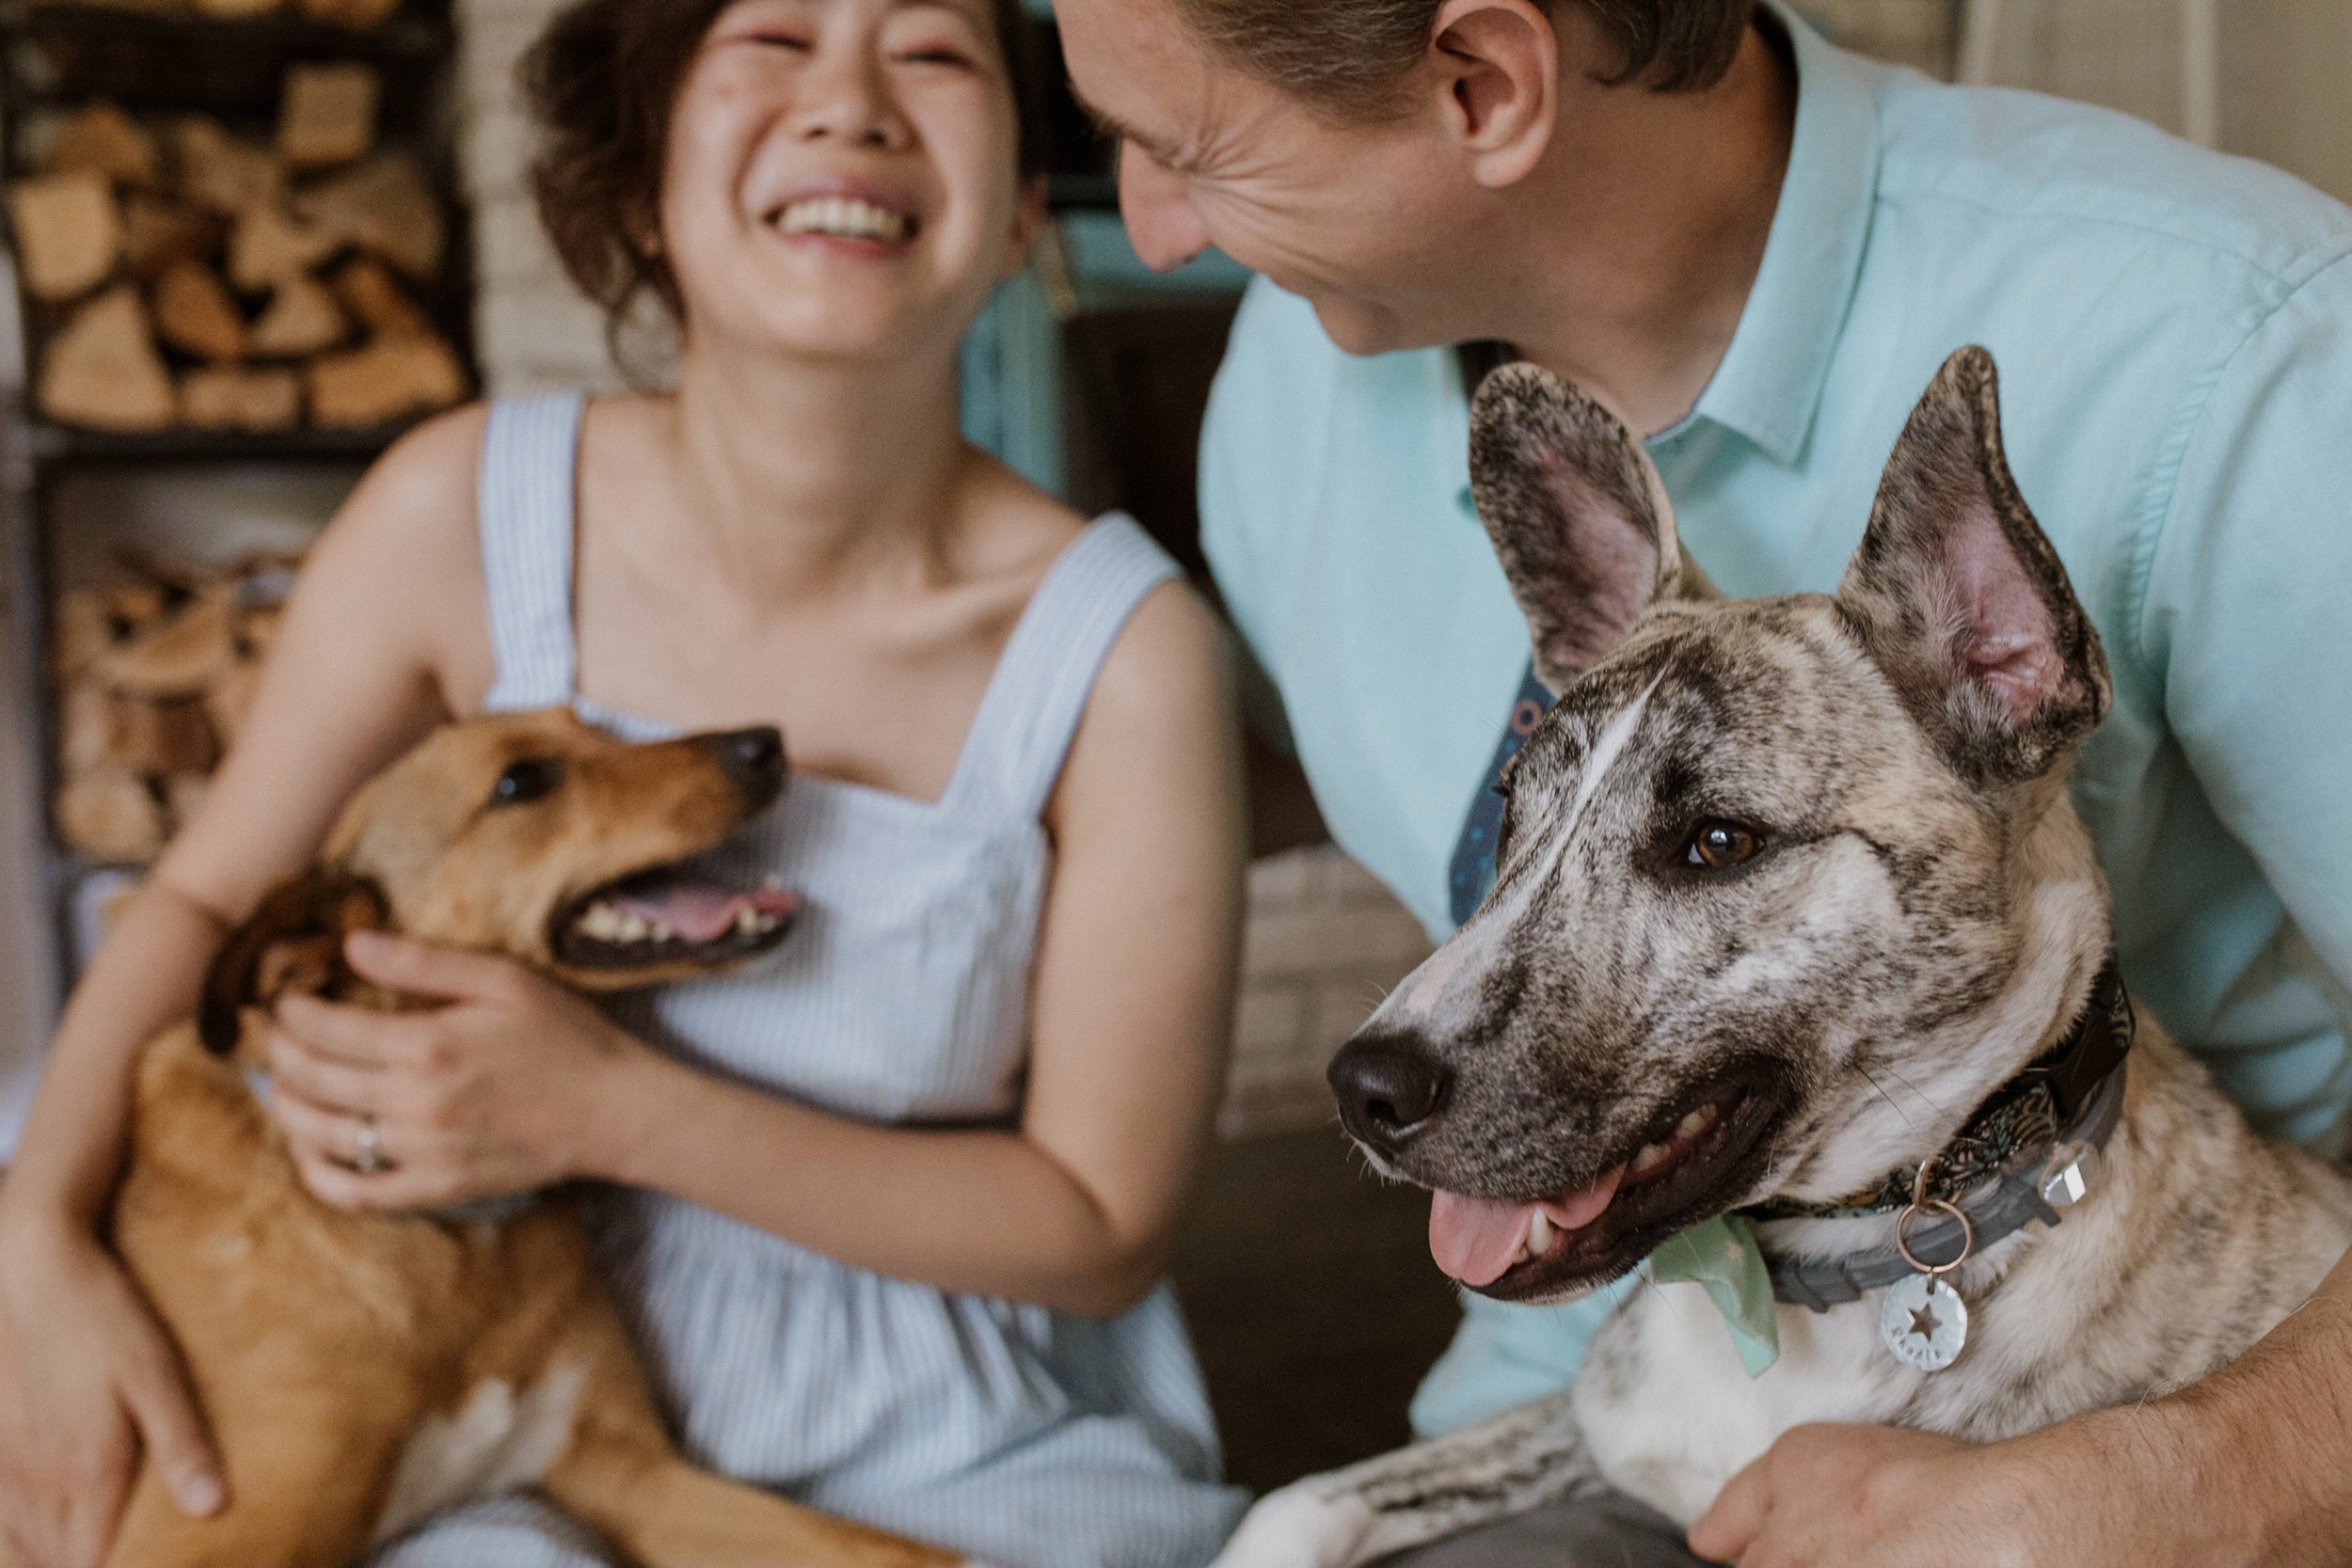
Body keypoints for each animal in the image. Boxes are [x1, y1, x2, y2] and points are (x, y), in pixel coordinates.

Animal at [83, 709, 960, 1568]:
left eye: (597, 728)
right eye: (521, 781)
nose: (767, 742)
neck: (458, 1236)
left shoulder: (633, 1471)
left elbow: (899, 1549)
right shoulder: (203, 1536)